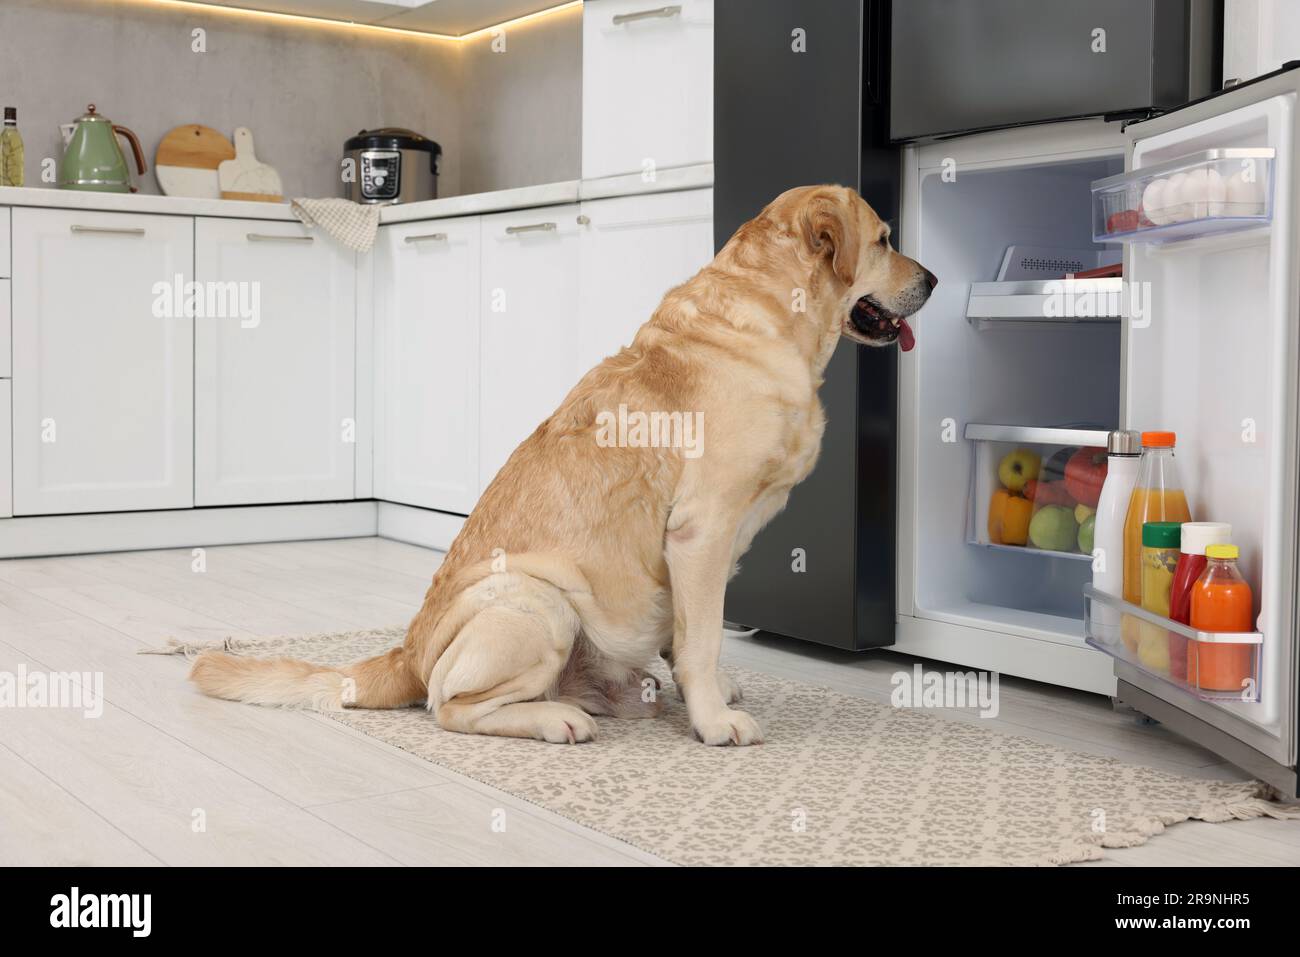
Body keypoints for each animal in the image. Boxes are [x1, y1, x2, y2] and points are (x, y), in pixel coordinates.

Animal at [189, 183, 935, 743]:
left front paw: (712, 696)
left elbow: (693, 638)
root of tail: (406, 653)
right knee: (449, 707)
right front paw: (715, 721)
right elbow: (702, 642)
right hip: (539, 602)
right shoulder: (700, 531)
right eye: (885, 239)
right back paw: (557, 718)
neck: (770, 315)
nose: (933, 278)